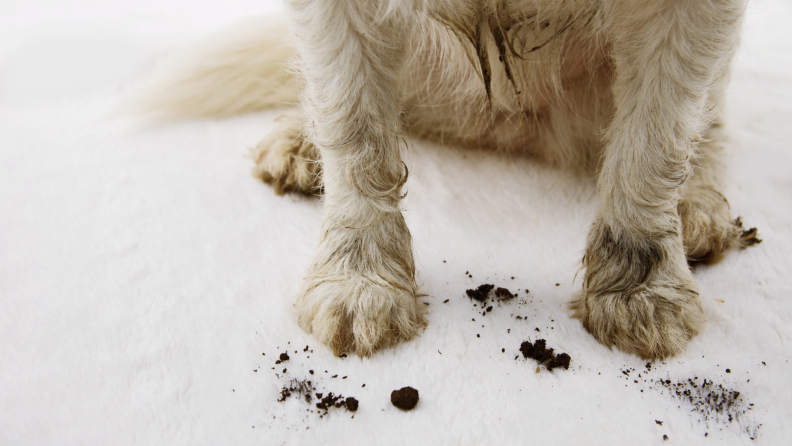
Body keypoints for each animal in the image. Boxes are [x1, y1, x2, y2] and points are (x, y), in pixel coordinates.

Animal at [138, 0, 760, 360]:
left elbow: (655, 137)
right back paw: (299, 142)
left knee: (708, 117)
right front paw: (359, 282)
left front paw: (641, 289)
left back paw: (698, 205)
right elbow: (352, 124)